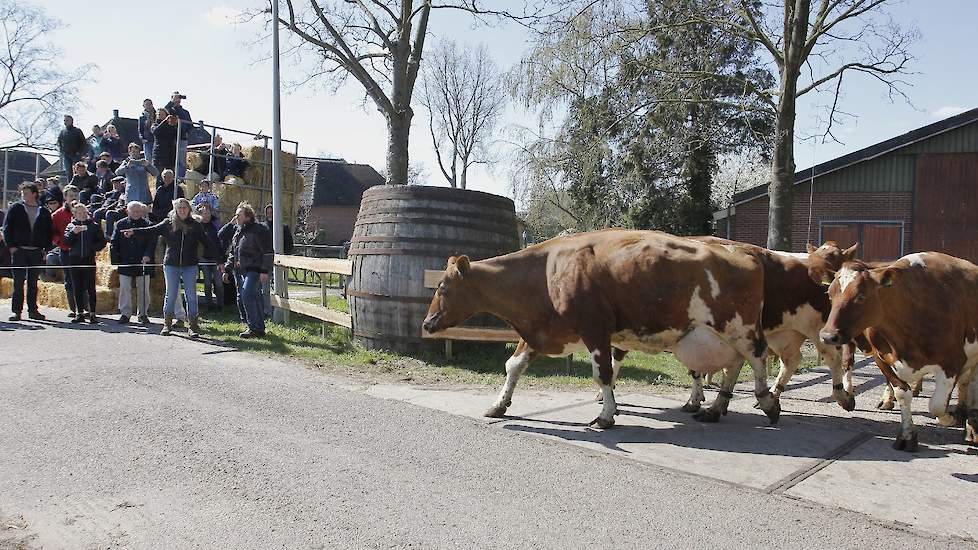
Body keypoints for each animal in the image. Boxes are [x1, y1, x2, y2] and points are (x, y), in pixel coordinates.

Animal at [420, 231, 776, 430]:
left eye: (443, 288)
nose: (427, 323)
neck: (546, 272)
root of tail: (743, 251)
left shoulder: (595, 329)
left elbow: (603, 374)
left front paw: (606, 416)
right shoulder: (542, 330)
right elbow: (513, 366)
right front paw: (499, 405)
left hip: (738, 326)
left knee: (756, 357)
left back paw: (767, 402)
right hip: (723, 335)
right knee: (735, 365)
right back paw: (715, 409)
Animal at [824, 254, 976, 452]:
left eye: (861, 296)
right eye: (829, 294)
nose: (827, 335)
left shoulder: (953, 362)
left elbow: (936, 406)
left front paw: (952, 418)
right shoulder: (882, 359)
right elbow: (902, 394)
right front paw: (907, 436)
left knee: (971, 384)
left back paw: (970, 425)